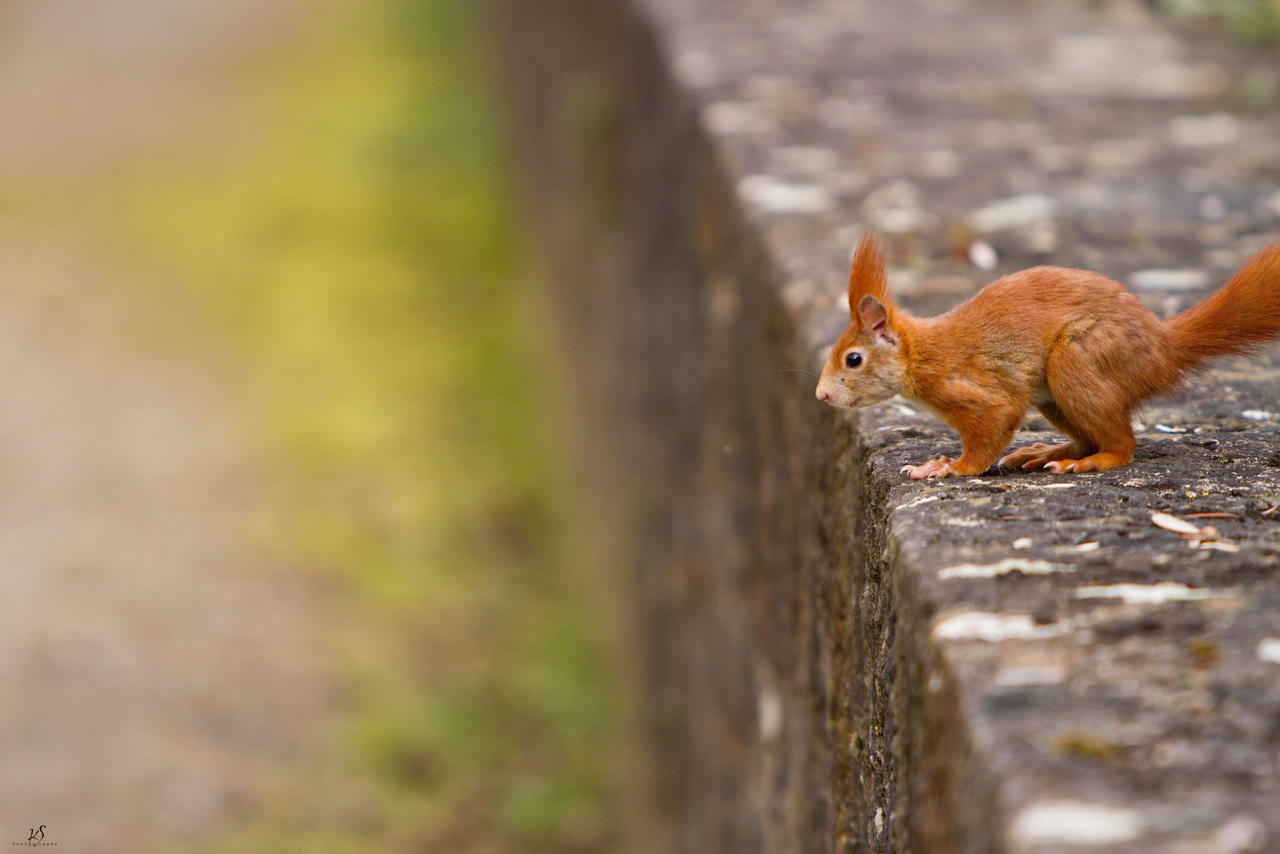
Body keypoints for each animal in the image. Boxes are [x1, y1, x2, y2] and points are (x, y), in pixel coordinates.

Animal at [814, 236, 1280, 478]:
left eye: (852, 360)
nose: (821, 396)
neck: (922, 355)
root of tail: (1163, 347)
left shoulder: (976, 389)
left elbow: (990, 430)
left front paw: (949, 467)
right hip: (1055, 398)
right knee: (1087, 435)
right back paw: (1045, 453)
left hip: (1079, 360)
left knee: (1122, 444)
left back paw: (1093, 461)